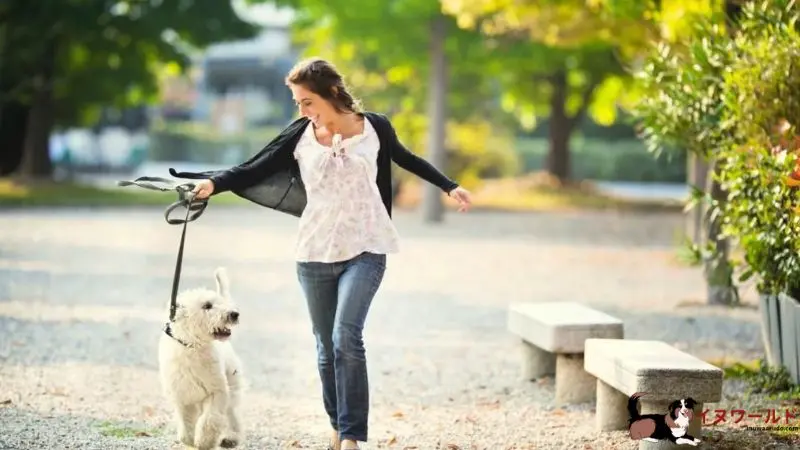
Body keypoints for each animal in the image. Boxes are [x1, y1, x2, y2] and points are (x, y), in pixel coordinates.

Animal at [157, 268, 242, 450]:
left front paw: (204, 441)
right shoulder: (181, 396)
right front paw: (188, 440)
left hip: (232, 383)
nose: (234, 314)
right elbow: (186, 422)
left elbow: (210, 419)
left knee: (231, 414)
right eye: (207, 306)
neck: (192, 347)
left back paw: (231, 438)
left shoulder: (217, 391)